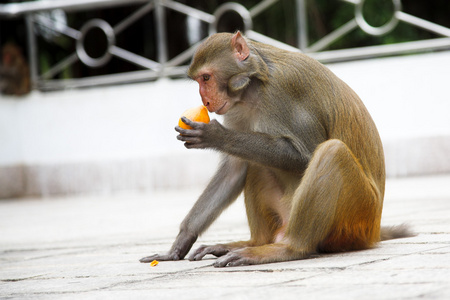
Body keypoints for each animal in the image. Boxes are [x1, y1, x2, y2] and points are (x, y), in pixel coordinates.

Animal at [141, 31, 412, 266]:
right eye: (199, 80)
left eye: (206, 78)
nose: (205, 101)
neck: (253, 87)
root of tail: (373, 230)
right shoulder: (236, 108)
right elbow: (234, 169)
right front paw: (180, 243)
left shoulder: (287, 89)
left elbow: (306, 154)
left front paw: (217, 136)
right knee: (255, 164)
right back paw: (251, 243)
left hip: (354, 220)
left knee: (332, 152)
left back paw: (288, 249)